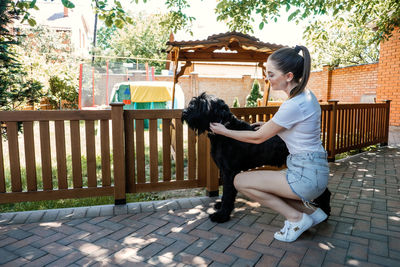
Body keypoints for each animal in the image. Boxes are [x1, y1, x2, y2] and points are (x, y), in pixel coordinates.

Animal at [182, 93, 332, 223]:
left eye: (202, 105)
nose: (184, 112)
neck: (225, 128)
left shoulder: (230, 172)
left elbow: (228, 194)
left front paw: (222, 215)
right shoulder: (225, 171)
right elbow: (225, 193)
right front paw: (220, 206)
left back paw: (325, 212)